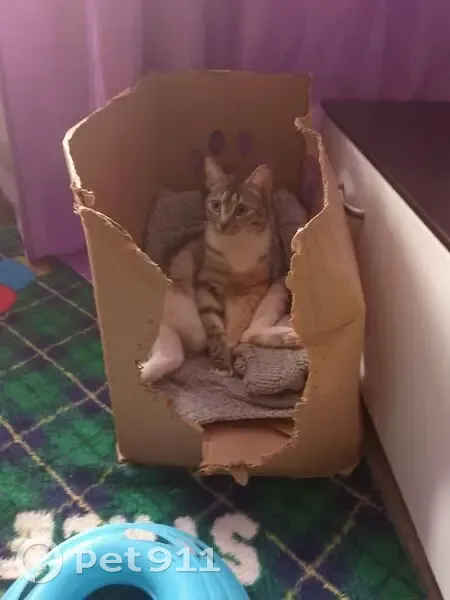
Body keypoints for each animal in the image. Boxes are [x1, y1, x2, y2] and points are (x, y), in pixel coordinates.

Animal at [140, 157, 301, 384]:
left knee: (249, 332)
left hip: (276, 288)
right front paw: (222, 362)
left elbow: (240, 321)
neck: (236, 246)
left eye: (241, 209)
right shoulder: (205, 285)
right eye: (216, 205)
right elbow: (214, 329)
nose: (223, 224)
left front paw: (230, 344)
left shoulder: (254, 289)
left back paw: (288, 336)